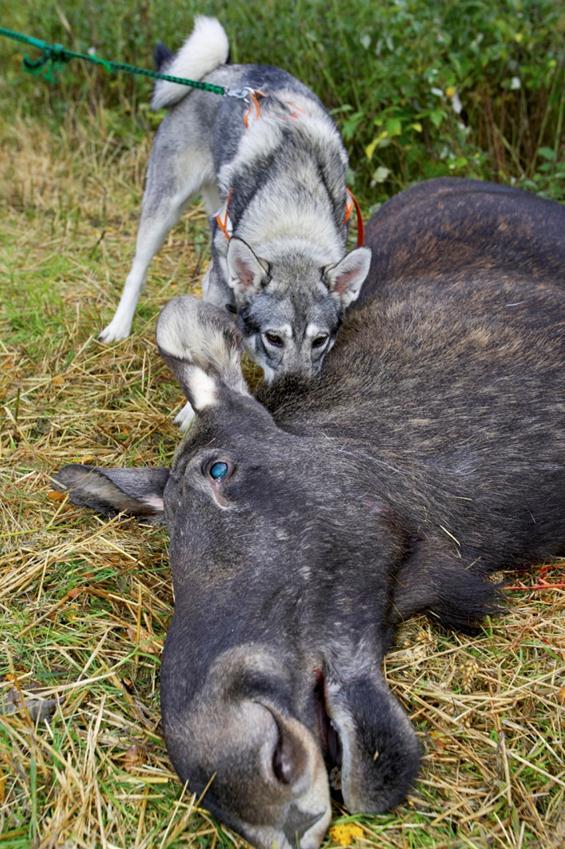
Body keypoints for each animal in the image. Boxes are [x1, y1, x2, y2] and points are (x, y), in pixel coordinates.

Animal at [100, 19, 370, 428]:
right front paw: (192, 411)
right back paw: (119, 326)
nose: (297, 392)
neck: (292, 208)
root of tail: (218, 72)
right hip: (164, 210)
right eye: (274, 338)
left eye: (320, 340)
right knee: (138, 270)